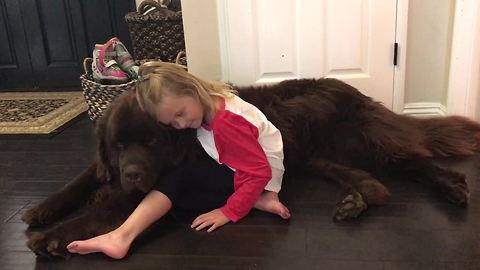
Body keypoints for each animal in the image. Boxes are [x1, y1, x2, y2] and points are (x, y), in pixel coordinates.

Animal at [21, 77, 480, 258]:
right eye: (118, 145)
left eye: (150, 142)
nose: (132, 174)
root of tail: (361, 92)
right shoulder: (105, 165)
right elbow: (85, 177)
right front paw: (43, 209)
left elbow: (108, 208)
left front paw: (54, 236)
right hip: (320, 157)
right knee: (377, 186)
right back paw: (354, 202)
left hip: (370, 140)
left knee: (416, 161)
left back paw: (453, 188)